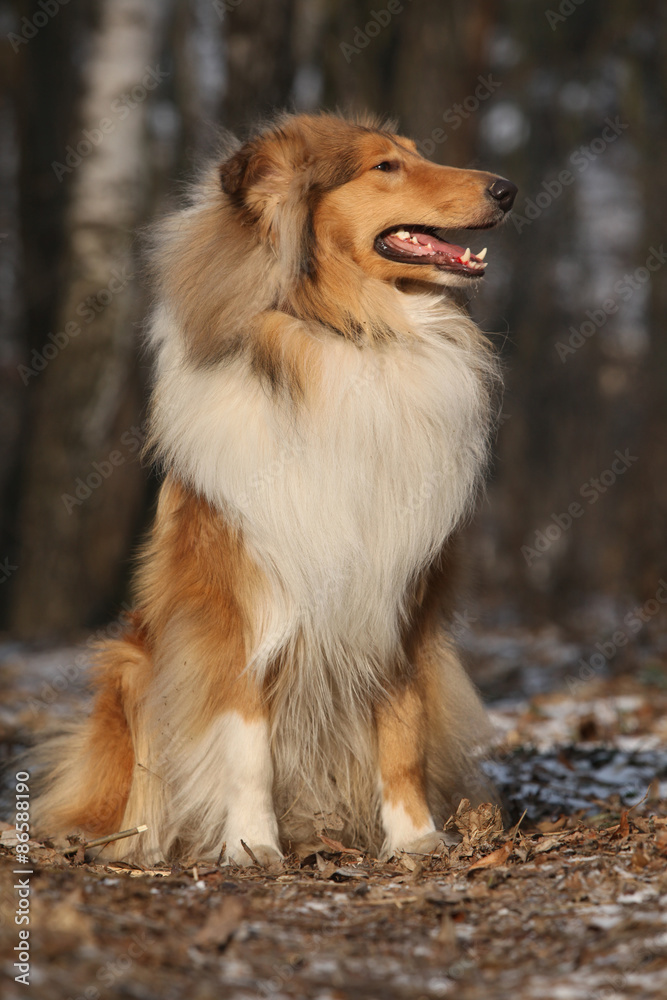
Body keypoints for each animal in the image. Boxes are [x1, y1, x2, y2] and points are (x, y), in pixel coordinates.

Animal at [34, 107, 520, 860]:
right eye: (385, 166)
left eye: (415, 153)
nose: (506, 189)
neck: (353, 333)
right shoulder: (241, 603)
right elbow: (245, 742)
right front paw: (250, 846)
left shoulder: (398, 600)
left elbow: (402, 729)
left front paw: (413, 839)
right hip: (132, 667)